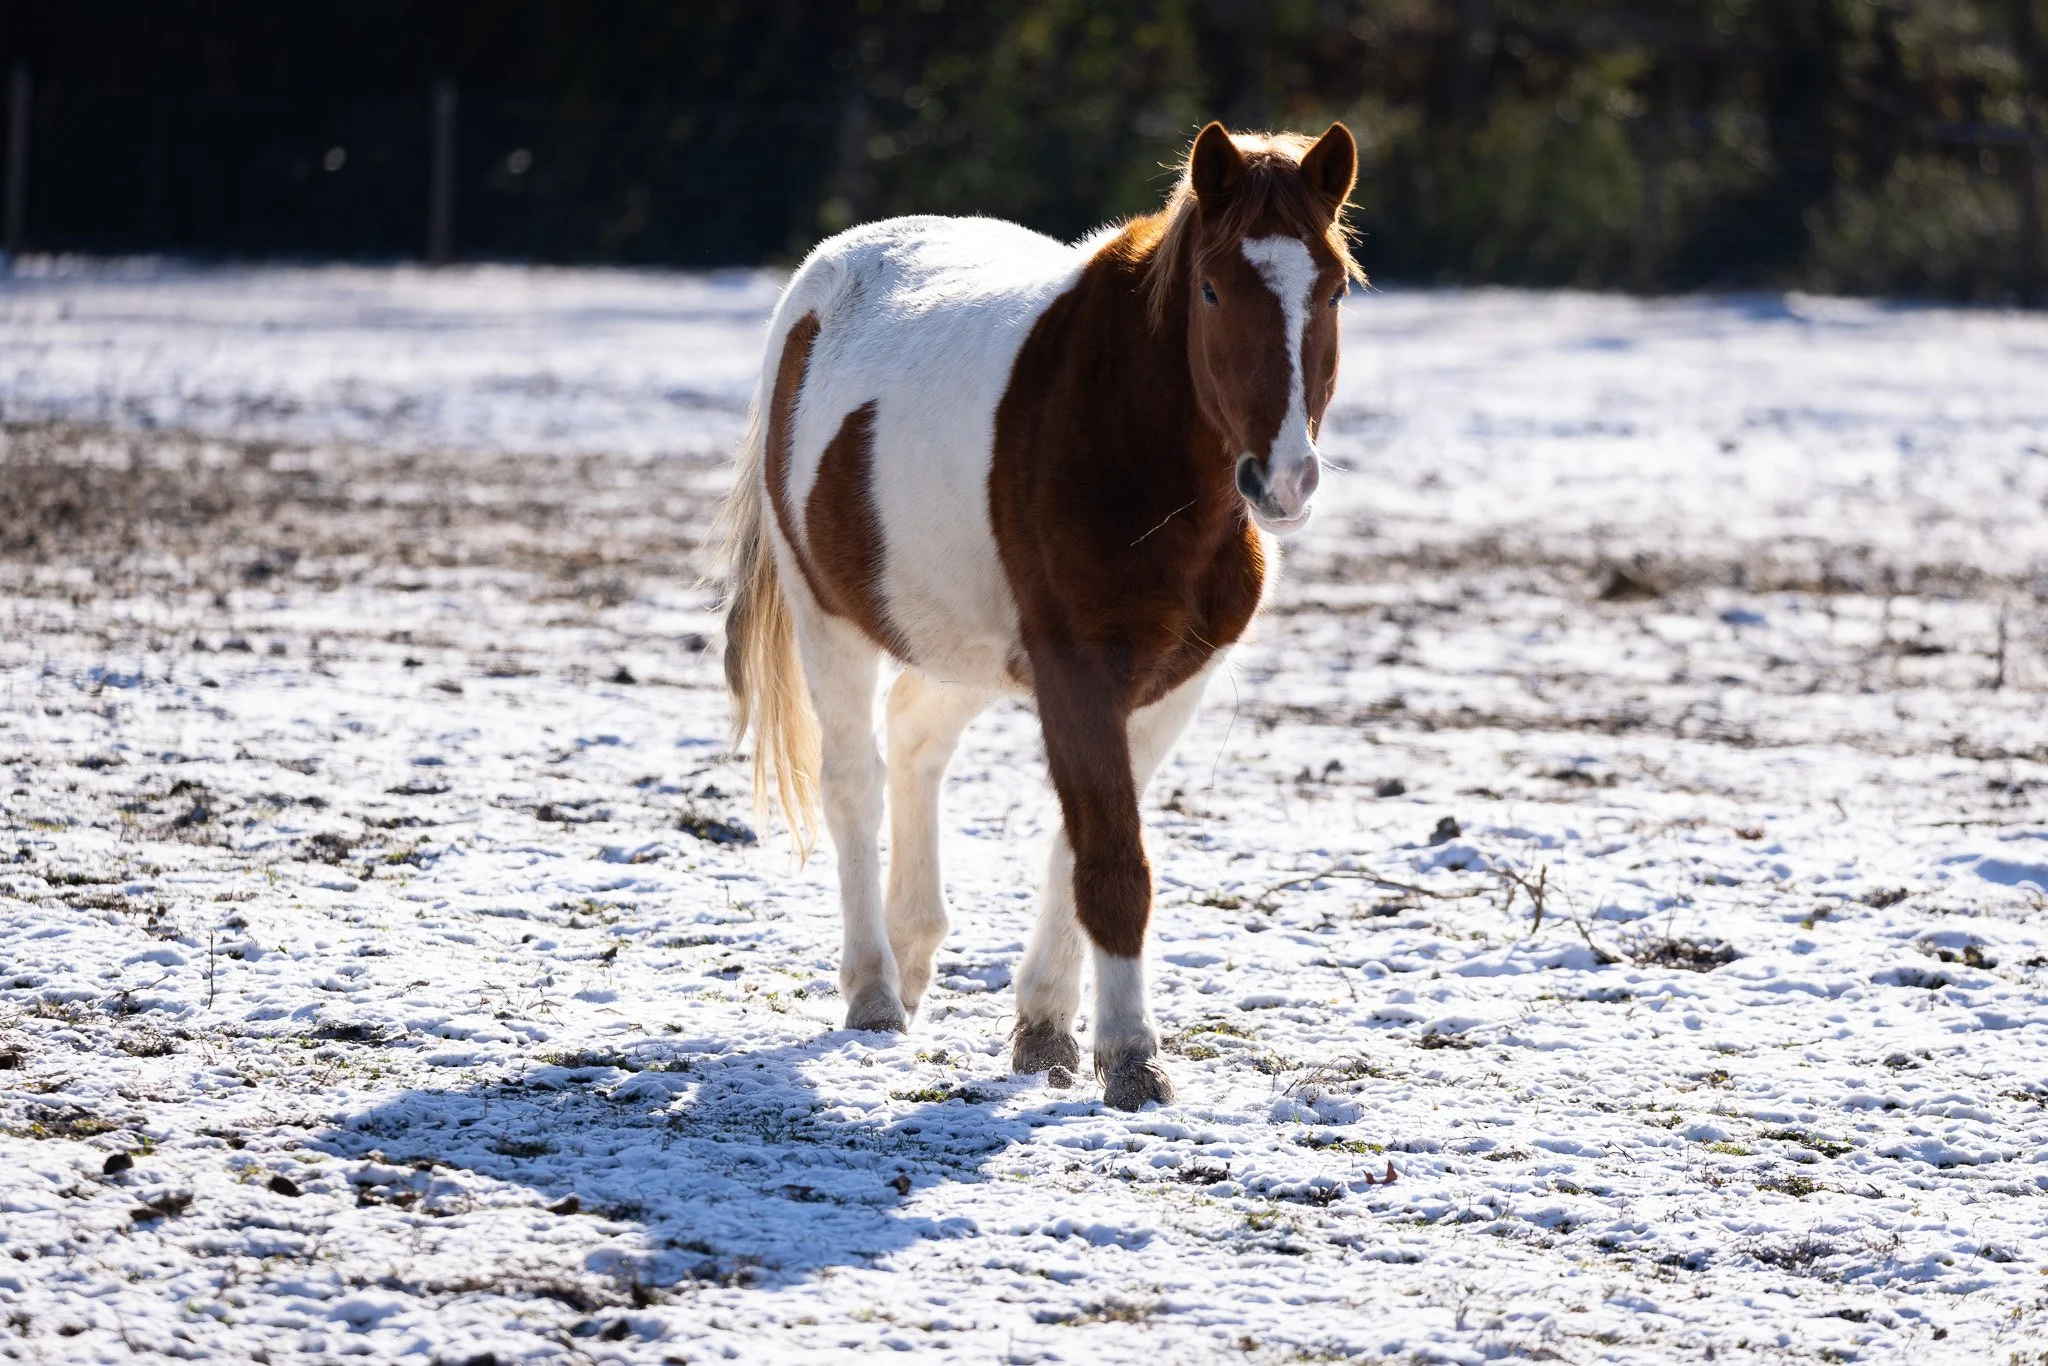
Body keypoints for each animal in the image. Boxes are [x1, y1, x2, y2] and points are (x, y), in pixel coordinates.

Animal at [717, 122, 1360, 1110]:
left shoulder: (1166, 686)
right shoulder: (1076, 671)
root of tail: (821, 280)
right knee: (854, 782)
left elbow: (1081, 847)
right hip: (828, 617)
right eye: (1213, 288)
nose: (1282, 481)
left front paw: (1047, 1029)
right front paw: (1131, 1057)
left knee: (916, 742)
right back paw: (874, 994)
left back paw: (911, 954)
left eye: (1331, 289)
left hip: (956, 641)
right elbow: (1112, 861)